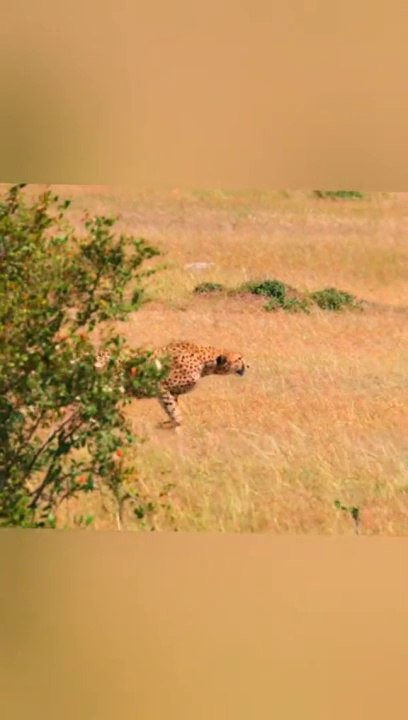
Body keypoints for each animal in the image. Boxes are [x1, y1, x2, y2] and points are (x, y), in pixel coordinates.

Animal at [95, 341, 249, 428]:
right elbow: (174, 412)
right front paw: (175, 427)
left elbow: (173, 410)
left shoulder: (173, 393)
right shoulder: (162, 388)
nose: (248, 365)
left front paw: (169, 425)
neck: (205, 361)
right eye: (239, 358)